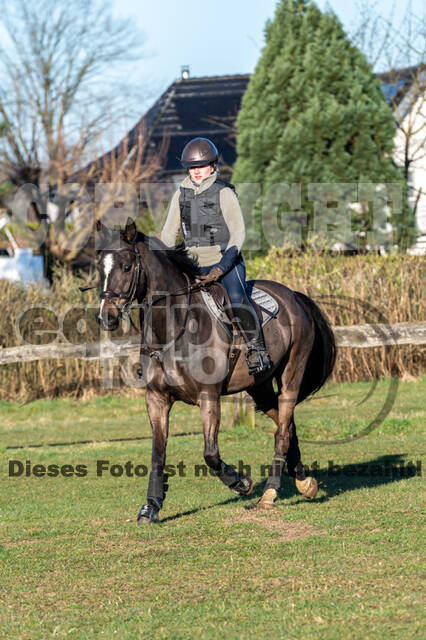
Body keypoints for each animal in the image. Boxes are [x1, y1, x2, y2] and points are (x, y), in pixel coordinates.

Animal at [94, 218, 336, 524]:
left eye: (126, 267)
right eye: (100, 268)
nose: (106, 316)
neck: (173, 330)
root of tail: (293, 295)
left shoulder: (208, 396)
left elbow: (210, 453)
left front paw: (241, 483)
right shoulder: (157, 399)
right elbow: (157, 454)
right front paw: (151, 506)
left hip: (292, 374)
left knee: (282, 429)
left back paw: (268, 494)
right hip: (259, 387)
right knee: (287, 425)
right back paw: (304, 483)